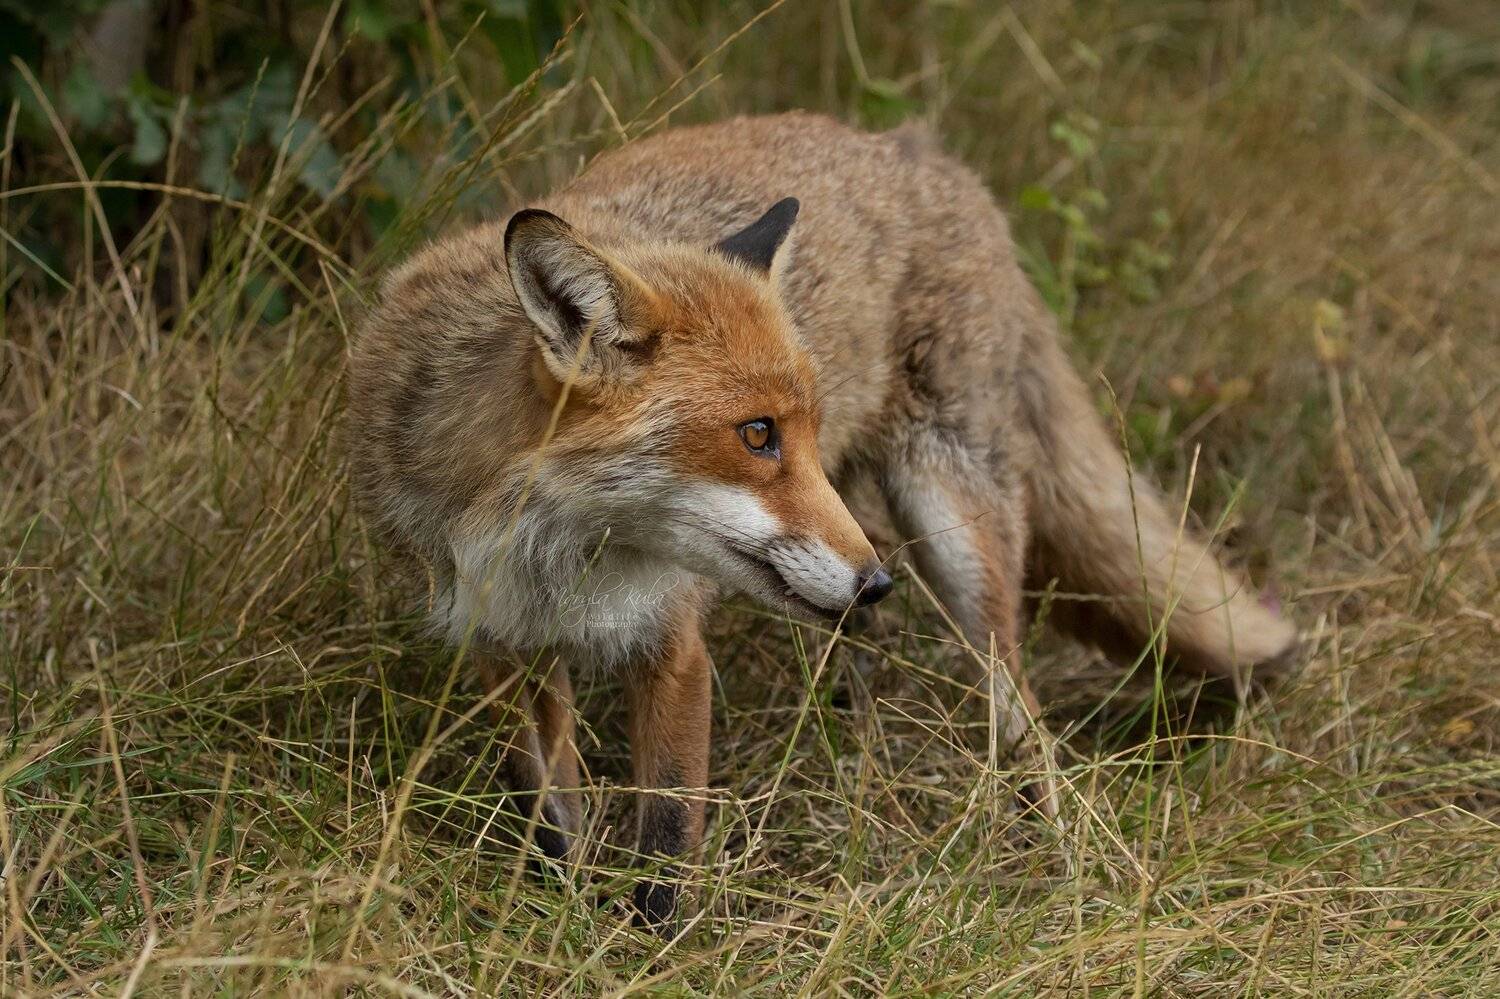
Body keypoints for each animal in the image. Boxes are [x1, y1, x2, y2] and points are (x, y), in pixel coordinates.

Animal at [345, 111, 1297, 928]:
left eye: (794, 425)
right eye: (757, 434)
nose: (877, 581)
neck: (558, 551)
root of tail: (920, 150)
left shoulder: (674, 647)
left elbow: (665, 846)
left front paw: (646, 953)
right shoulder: (501, 646)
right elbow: (550, 823)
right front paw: (562, 919)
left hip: (954, 533)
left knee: (1020, 713)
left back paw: (1047, 845)